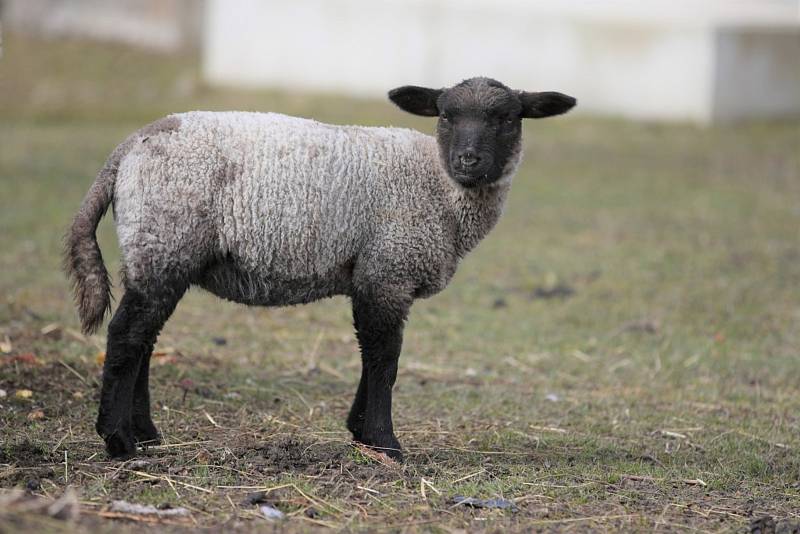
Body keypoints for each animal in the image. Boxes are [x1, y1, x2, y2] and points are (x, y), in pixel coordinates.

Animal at [64, 76, 576, 460]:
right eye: (445, 115)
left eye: (507, 118)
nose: (468, 160)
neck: (439, 184)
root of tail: (129, 147)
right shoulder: (387, 270)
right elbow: (385, 359)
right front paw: (385, 443)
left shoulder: (372, 276)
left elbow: (372, 357)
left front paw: (361, 431)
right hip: (165, 239)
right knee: (127, 336)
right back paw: (118, 440)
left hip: (157, 252)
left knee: (144, 339)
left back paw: (146, 433)